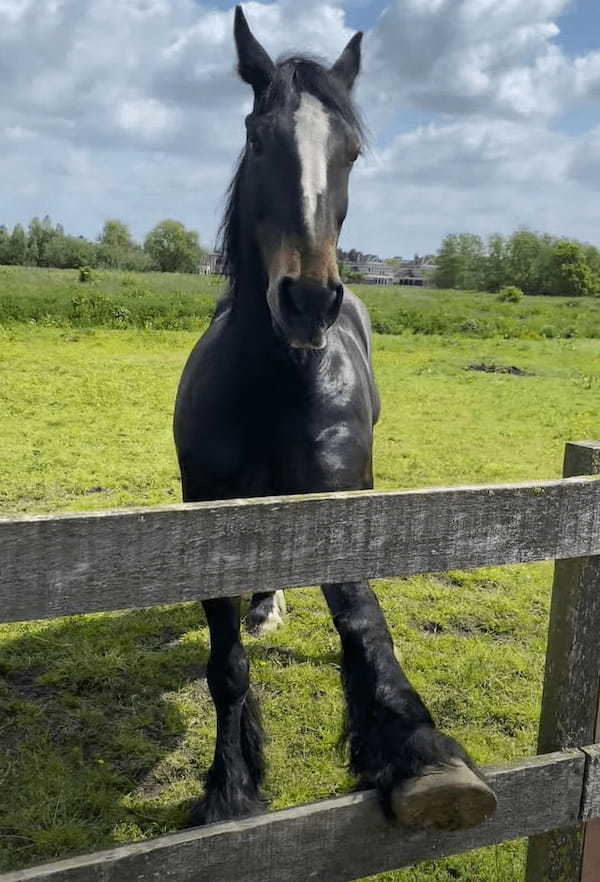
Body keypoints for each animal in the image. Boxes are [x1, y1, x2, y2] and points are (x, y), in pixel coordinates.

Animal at [173, 5, 496, 832]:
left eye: (349, 151)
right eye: (259, 137)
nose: (309, 299)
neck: (275, 384)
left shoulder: (338, 499)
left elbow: (361, 617)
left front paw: (419, 751)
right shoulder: (205, 515)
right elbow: (226, 666)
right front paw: (230, 785)